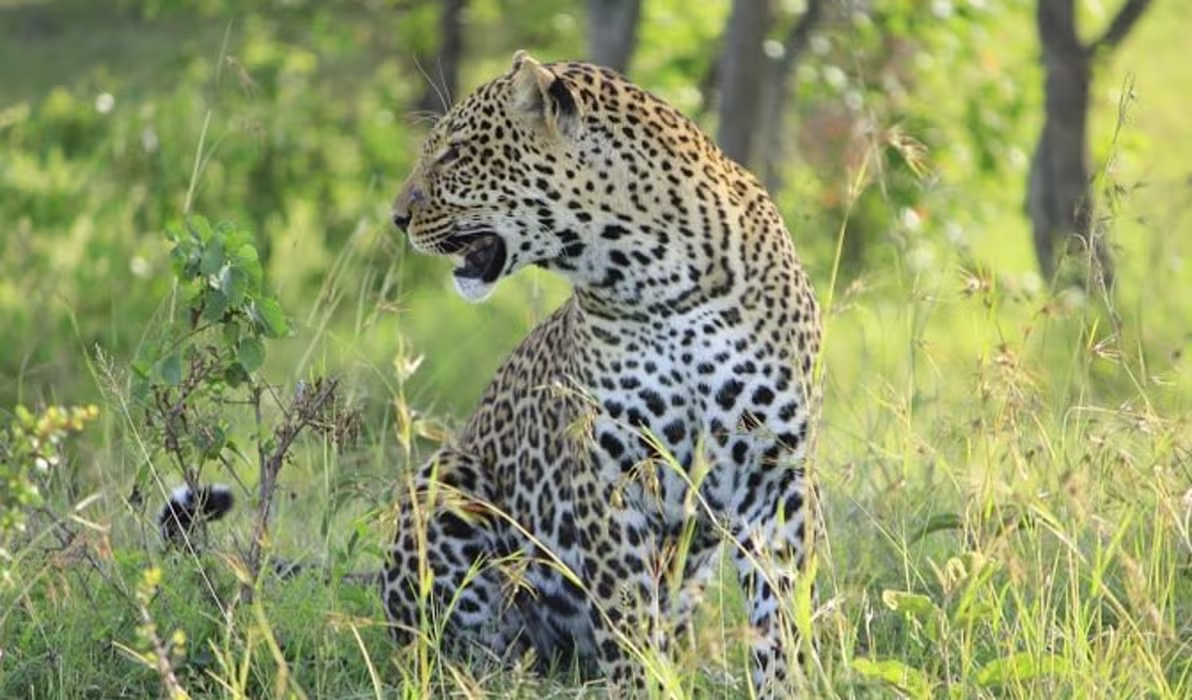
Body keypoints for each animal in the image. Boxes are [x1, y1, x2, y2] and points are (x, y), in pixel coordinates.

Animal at [384, 50, 822, 697]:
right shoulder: (609, 473)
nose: (397, 218)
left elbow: (780, 615)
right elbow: (628, 618)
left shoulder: (775, 474)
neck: (659, 280)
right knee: (464, 643)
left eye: (455, 153)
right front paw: (643, 686)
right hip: (445, 481)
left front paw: (784, 684)